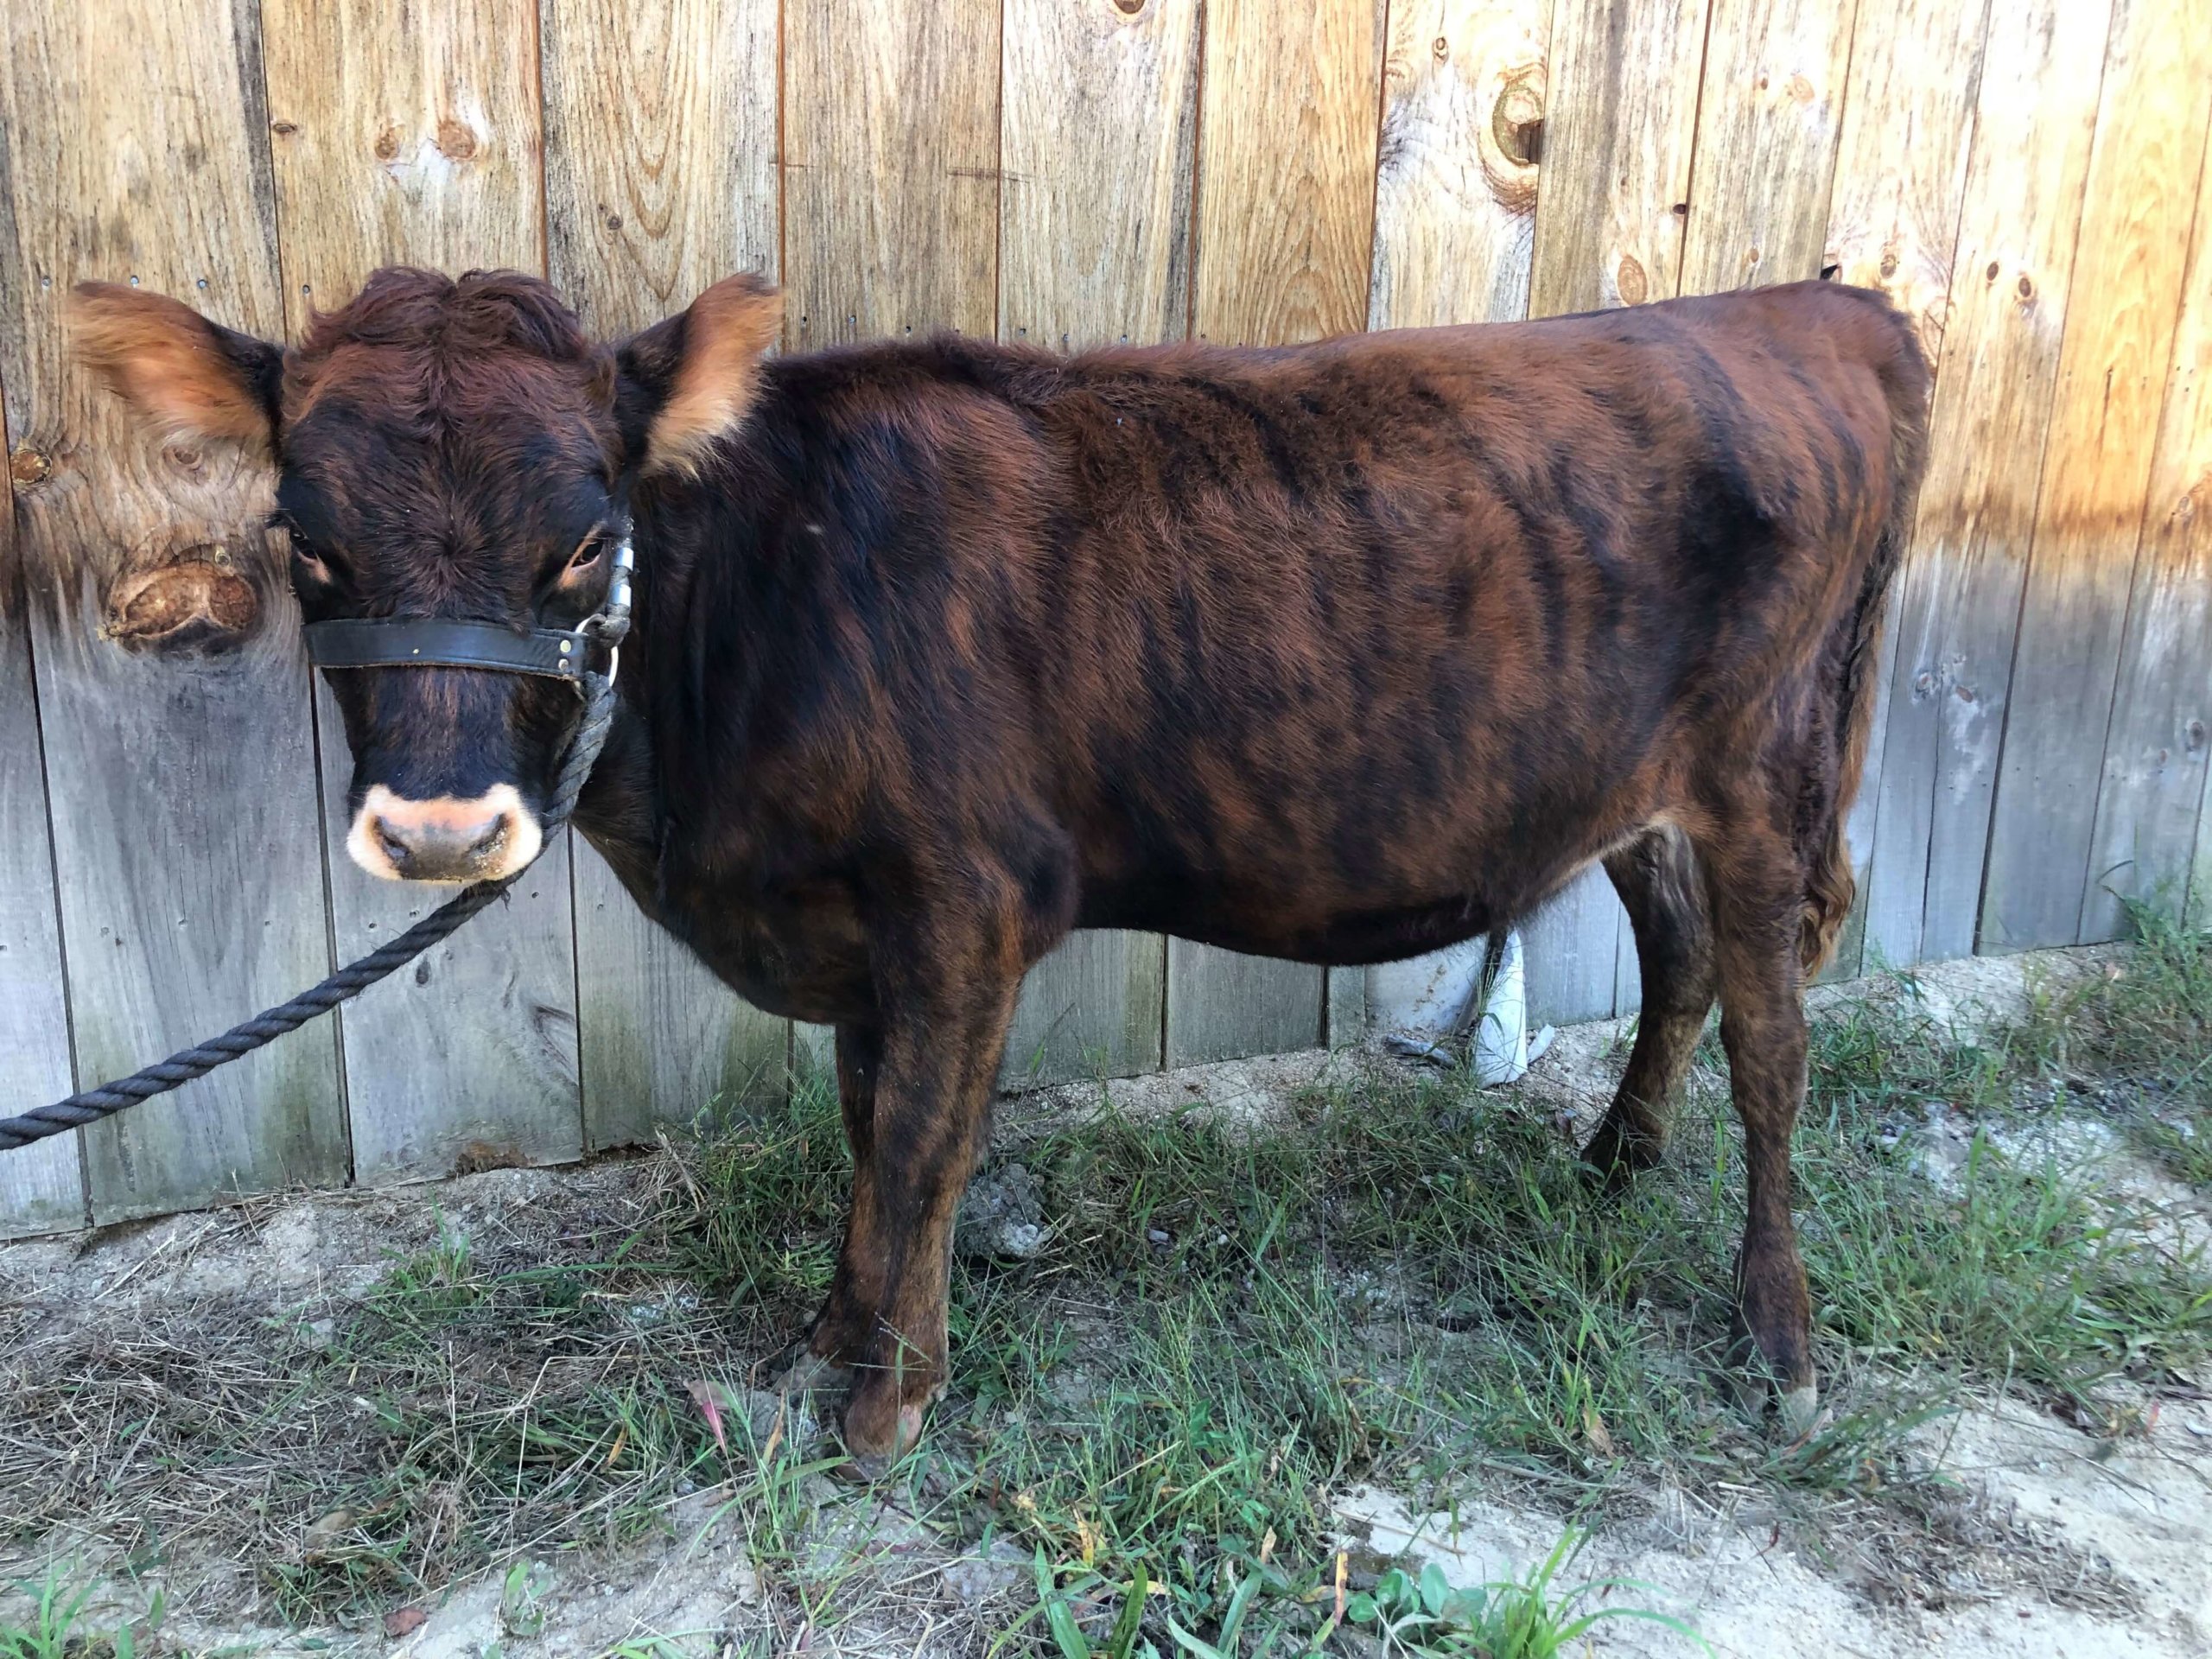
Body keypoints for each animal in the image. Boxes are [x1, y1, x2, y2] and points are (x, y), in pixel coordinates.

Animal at [72, 268, 1928, 1472]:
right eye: (310, 545)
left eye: (587, 541)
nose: (442, 832)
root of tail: (1817, 305)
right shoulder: (860, 928)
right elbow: (864, 1129)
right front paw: (831, 1339)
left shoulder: (967, 905)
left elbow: (918, 1146)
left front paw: (887, 1400)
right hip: (1642, 788)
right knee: (1678, 962)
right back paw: (1617, 1161)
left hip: (1767, 774)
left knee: (1777, 1044)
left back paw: (1780, 1345)